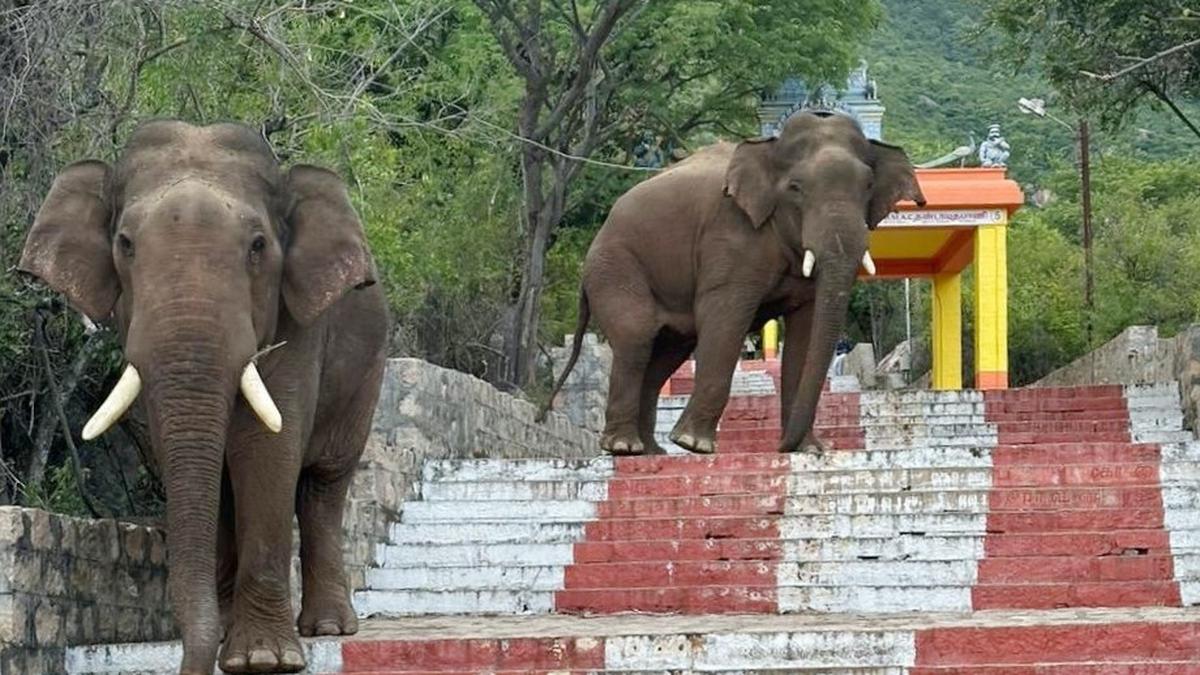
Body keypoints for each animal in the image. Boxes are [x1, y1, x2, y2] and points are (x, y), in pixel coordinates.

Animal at [18, 120, 388, 672]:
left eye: (258, 246)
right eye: (124, 244)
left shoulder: (297, 327)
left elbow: (266, 450)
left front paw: (263, 659)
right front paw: (238, 648)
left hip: (366, 375)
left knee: (324, 485)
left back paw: (326, 628)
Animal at [544, 111, 926, 451]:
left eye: (868, 187)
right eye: (796, 188)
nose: (779, 447)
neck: (768, 147)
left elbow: (805, 328)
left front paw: (808, 450)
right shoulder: (729, 234)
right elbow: (726, 316)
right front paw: (693, 444)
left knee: (665, 354)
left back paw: (650, 451)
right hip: (615, 267)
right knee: (637, 338)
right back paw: (625, 447)